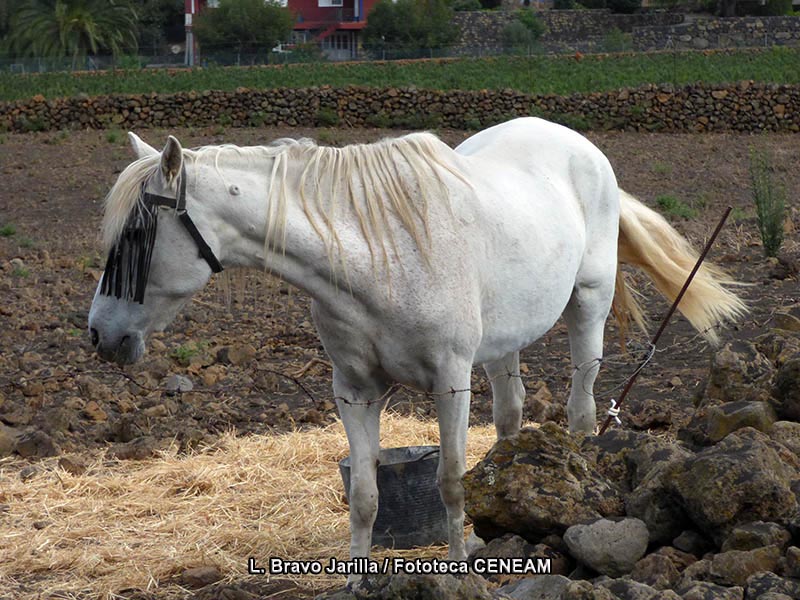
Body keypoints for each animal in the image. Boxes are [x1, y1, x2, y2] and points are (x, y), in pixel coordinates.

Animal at [87, 117, 744, 576]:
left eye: (138, 234)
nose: (101, 334)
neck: (376, 256)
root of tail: (580, 146)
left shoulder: (450, 382)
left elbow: (450, 480)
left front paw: (458, 569)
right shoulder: (354, 393)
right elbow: (364, 497)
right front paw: (358, 579)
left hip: (589, 304)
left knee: (582, 406)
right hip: (502, 343)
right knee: (511, 415)